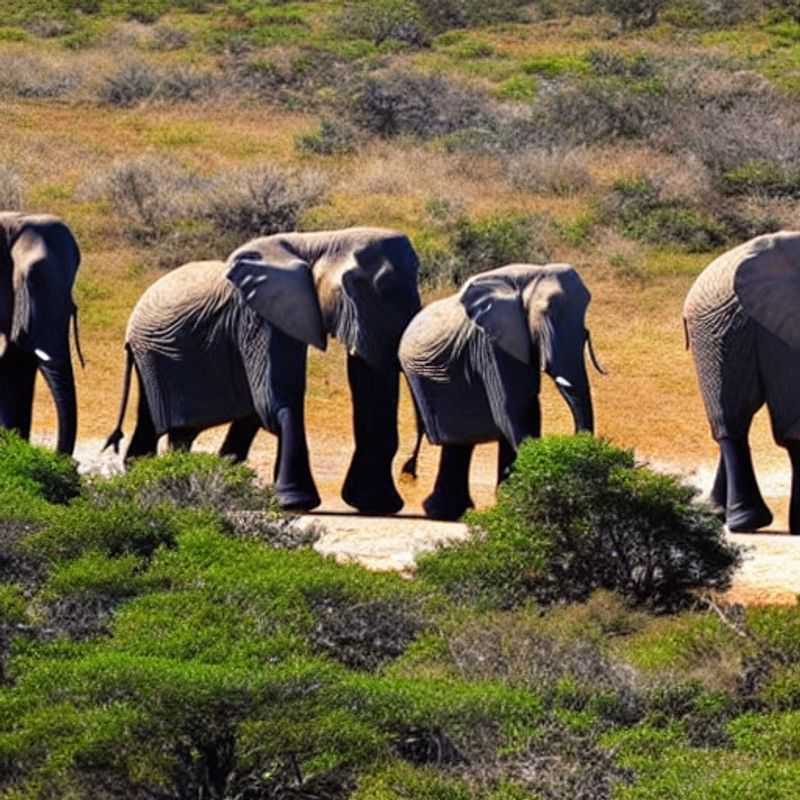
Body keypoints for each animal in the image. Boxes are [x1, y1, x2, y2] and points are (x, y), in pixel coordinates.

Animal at [104, 227, 422, 514]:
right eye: (382, 287)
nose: (410, 471)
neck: (319, 242)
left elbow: (370, 380)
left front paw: (376, 506)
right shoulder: (258, 314)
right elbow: (277, 398)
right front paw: (296, 503)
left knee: (163, 423)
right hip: (154, 357)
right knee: (174, 426)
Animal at [399, 263, 601, 521]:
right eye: (547, 312)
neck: (529, 277)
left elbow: (527, 407)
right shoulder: (489, 345)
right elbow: (511, 409)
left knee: (460, 444)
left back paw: (445, 510)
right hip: (420, 381)